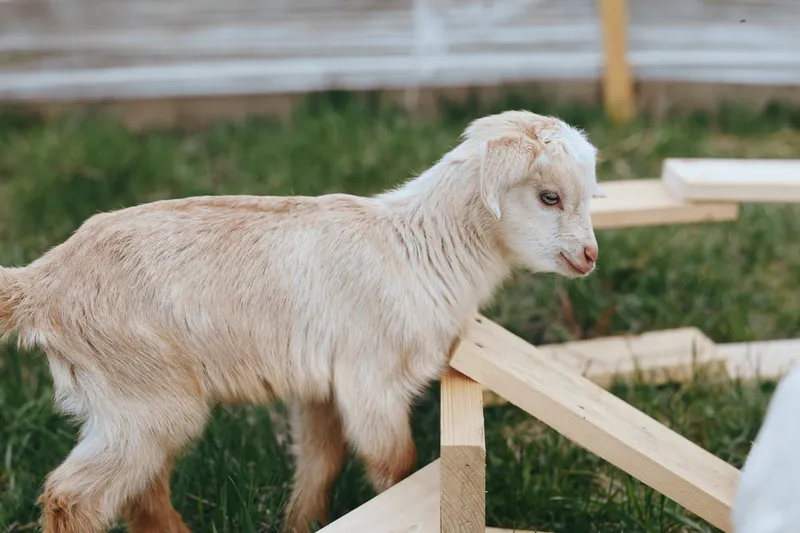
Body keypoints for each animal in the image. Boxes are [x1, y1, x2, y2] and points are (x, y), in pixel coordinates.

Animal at [0, 110, 604, 533]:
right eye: (549, 196)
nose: (590, 257)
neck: (415, 247)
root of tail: (43, 283)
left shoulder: (319, 386)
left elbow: (320, 462)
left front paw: (300, 522)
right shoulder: (371, 379)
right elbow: (398, 467)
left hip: (134, 406)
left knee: (141, 495)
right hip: (144, 397)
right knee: (73, 497)